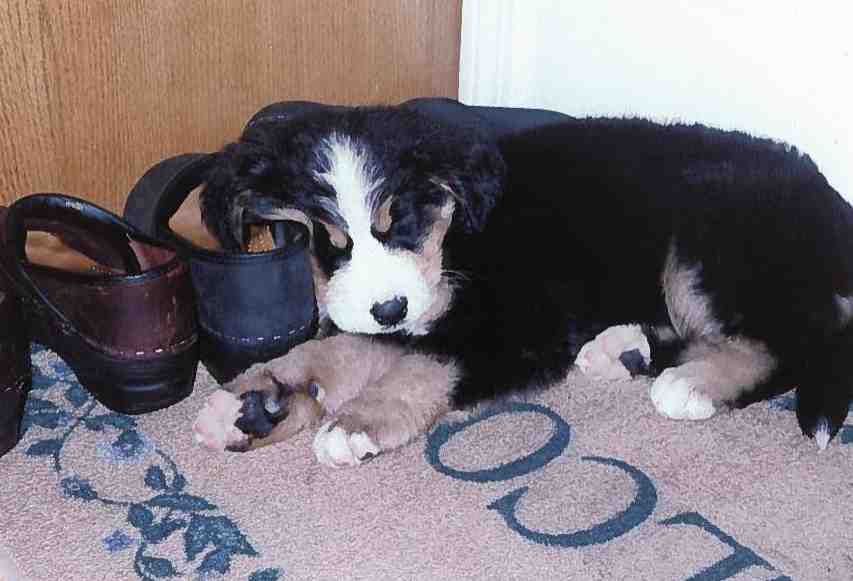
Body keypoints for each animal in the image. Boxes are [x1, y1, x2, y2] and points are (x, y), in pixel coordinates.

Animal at [192, 105, 853, 467]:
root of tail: (832, 208)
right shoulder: (404, 314)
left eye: (400, 220)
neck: (458, 235)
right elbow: (338, 346)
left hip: (705, 242)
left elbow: (428, 366)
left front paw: (357, 422)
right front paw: (254, 398)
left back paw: (692, 385)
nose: (389, 306)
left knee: (784, 346)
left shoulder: (517, 329)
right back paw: (625, 350)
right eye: (331, 242)